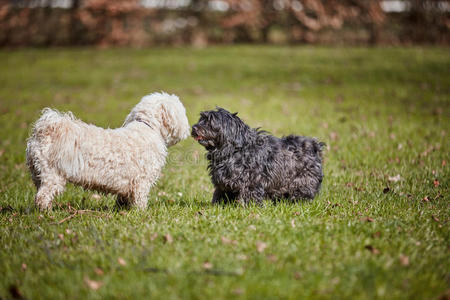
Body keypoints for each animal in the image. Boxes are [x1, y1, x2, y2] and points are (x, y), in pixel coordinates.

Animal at [25, 92, 190, 210]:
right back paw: (47, 213)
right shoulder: (141, 181)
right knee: (43, 196)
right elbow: (140, 199)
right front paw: (141, 213)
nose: (188, 128)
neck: (148, 127)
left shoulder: (127, 184)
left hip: (37, 172)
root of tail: (45, 130)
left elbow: (123, 198)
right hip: (53, 175)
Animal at [192, 108, 326, 206]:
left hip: (302, 181)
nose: (194, 127)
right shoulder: (223, 182)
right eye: (201, 119)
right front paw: (218, 206)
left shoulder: (252, 182)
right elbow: (220, 194)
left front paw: (248, 207)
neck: (233, 150)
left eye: (210, 122)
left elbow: (250, 196)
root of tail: (315, 145)